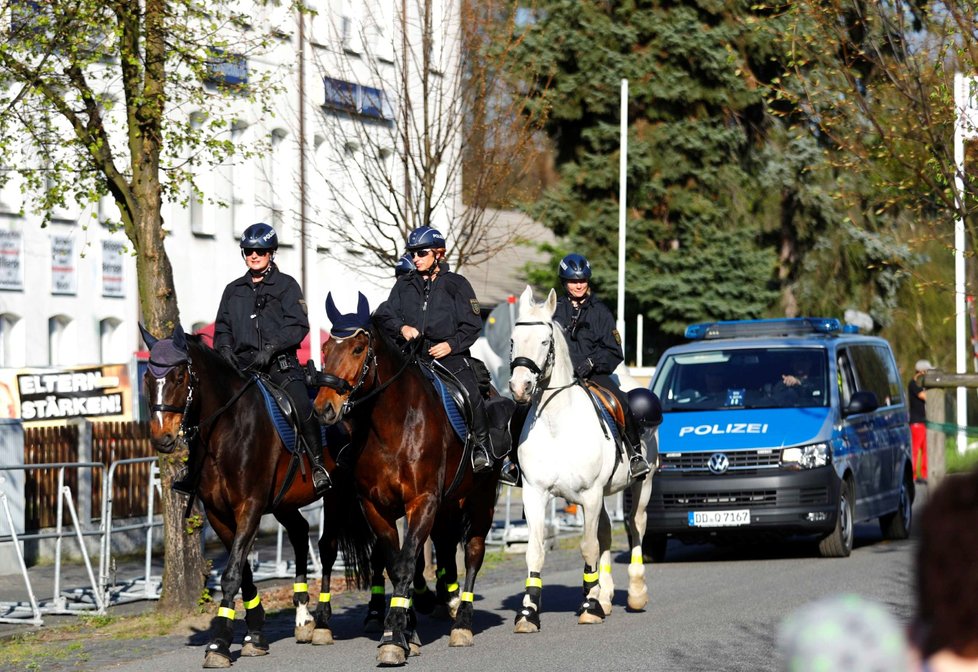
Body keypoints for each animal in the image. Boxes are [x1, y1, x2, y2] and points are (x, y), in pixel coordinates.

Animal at [141, 324, 374, 668]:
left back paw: (327, 620)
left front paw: (220, 643)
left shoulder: (248, 506)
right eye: (147, 377)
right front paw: (255, 633)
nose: (162, 438)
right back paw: (303, 615)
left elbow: (231, 574)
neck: (226, 429)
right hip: (284, 502)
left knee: (330, 547)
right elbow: (242, 571)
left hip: (338, 495)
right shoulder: (219, 514)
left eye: (180, 377)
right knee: (300, 532)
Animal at [314, 300, 510, 668]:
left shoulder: (423, 501)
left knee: (473, 552)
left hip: (481, 498)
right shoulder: (375, 507)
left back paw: (462, 623)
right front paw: (406, 632)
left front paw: (393, 637)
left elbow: (407, 561)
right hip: (448, 504)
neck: (392, 426)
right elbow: (395, 563)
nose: (324, 408)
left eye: (358, 349)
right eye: (325, 349)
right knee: (444, 546)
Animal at [508, 286, 652, 632]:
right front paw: (528, 612)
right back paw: (606, 595)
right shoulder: (535, 494)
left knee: (635, 526)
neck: (557, 424)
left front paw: (590, 606)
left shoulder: (589, 495)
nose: (520, 387)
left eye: (545, 341)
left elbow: (588, 547)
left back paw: (635, 593)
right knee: (606, 532)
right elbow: (535, 551)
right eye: (513, 340)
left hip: (642, 485)